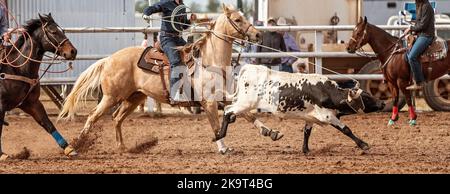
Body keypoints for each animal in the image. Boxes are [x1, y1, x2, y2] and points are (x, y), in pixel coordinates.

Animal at [0, 13, 77, 161]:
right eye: (53, 31)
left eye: (62, 31)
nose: (73, 51)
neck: (17, 68)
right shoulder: (1, 105)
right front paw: (2, 155)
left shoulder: (32, 103)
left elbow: (47, 124)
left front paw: (68, 148)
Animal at [59, 4, 282, 154]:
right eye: (237, 19)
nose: (257, 35)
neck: (211, 60)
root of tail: (109, 59)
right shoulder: (208, 103)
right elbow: (216, 126)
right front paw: (223, 148)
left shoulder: (225, 97)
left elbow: (248, 114)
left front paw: (271, 132)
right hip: (111, 97)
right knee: (92, 117)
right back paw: (77, 145)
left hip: (134, 98)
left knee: (116, 118)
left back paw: (123, 147)